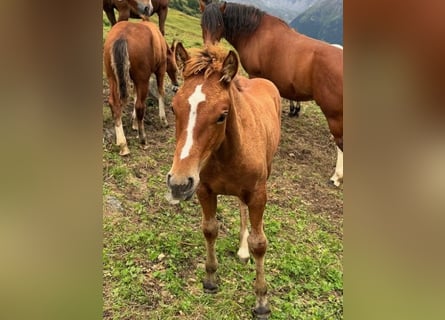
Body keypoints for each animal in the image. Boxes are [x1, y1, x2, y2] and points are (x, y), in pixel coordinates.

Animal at [103, 20, 179, 155]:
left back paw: (122, 143)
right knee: (140, 105)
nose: (176, 84)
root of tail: (122, 36)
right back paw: (142, 139)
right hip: (143, 79)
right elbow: (161, 92)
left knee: (114, 103)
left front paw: (134, 124)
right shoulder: (160, 70)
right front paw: (163, 119)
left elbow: (134, 95)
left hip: (113, 77)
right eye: (175, 68)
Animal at [166, 43, 280, 318]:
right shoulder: (204, 190)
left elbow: (260, 243)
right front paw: (210, 279)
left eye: (222, 115)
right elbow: (210, 229)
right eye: (173, 108)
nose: (178, 184)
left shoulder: (258, 194)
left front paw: (262, 301)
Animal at [199, 1, 344, 188]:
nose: (209, 51)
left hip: (334, 113)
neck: (254, 32)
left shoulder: (254, 75)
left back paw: (337, 176)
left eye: (218, 24)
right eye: (203, 24)